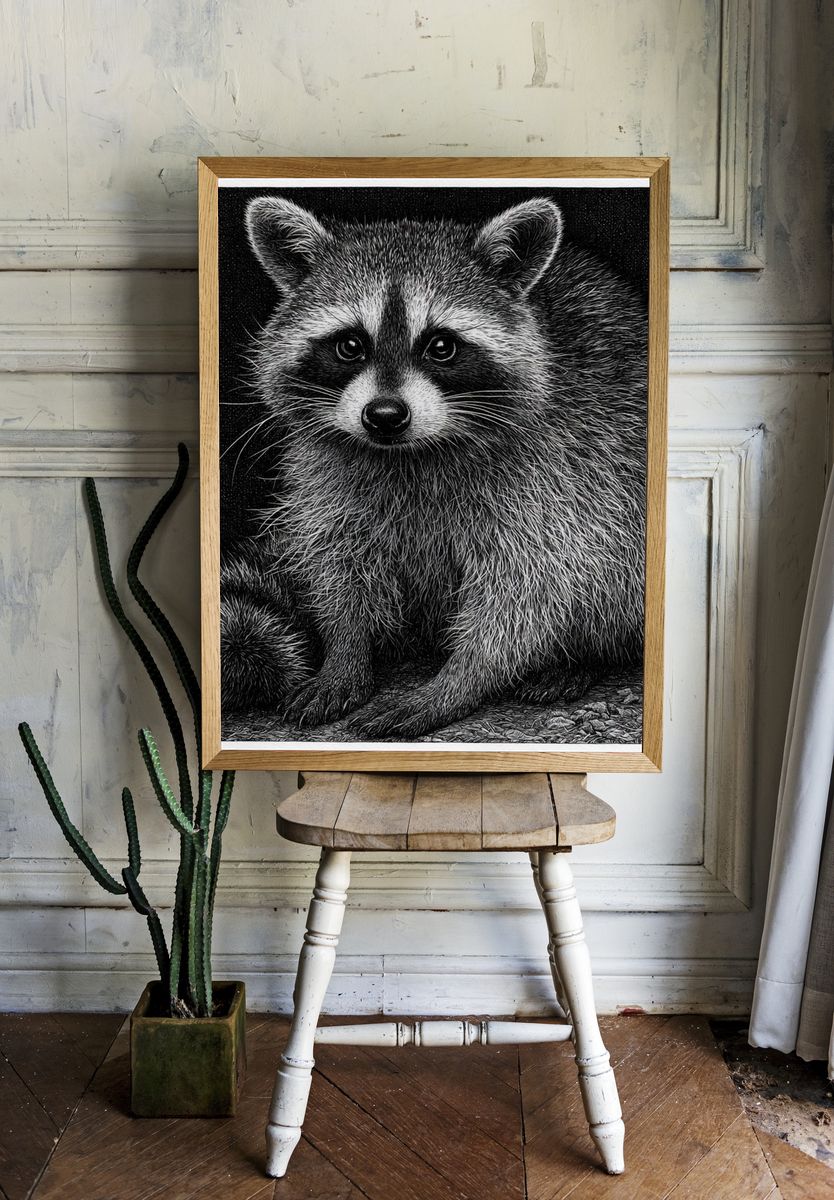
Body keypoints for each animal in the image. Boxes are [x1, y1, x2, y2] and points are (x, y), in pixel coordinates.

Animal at [221, 191, 647, 739]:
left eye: (441, 346)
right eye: (349, 344)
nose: (384, 416)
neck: (409, 453)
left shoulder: (557, 476)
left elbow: (527, 590)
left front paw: (457, 682)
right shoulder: (329, 479)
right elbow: (339, 564)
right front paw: (345, 654)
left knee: (613, 570)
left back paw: (584, 658)